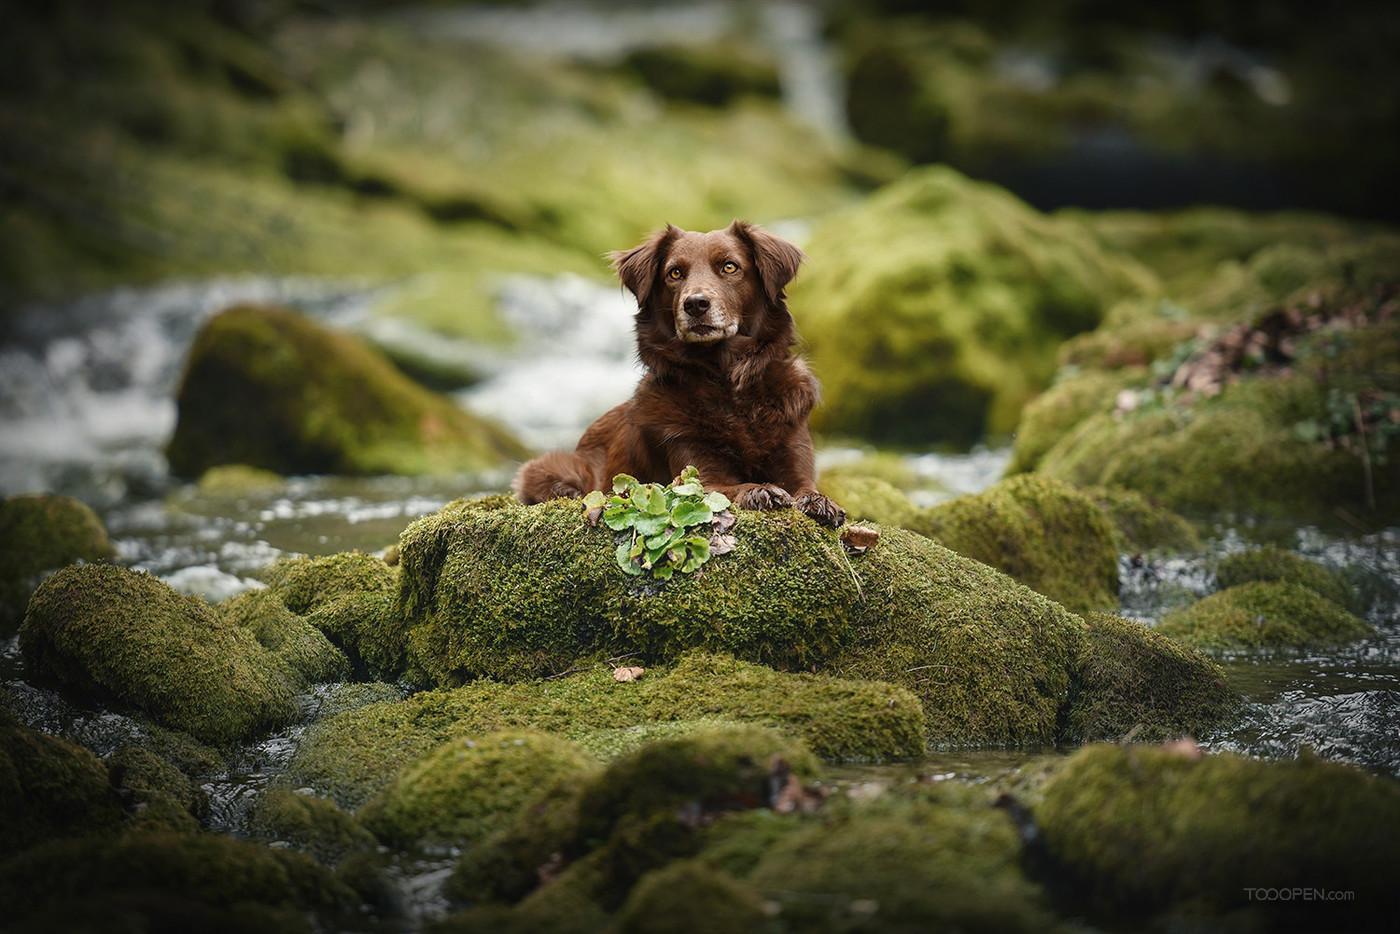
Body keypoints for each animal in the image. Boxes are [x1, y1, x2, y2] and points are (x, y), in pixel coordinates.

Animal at [515, 219, 840, 526]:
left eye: (730, 267)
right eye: (674, 273)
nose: (695, 304)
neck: (726, 384)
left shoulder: (794, 452)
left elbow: (806, 487)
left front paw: (819, 502)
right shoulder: (696, 476)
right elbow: (730, 488)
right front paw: (759, 490)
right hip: (552, 466)